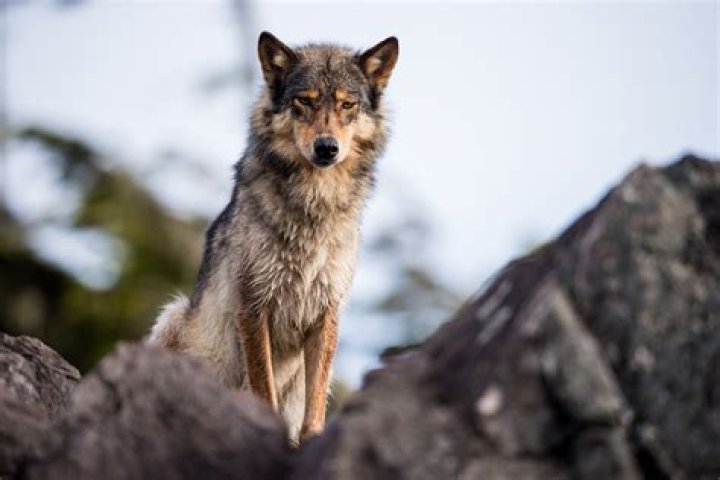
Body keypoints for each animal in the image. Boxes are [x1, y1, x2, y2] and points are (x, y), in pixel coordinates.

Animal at [148, 31, 398, 443]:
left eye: (347, 104)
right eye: (305, 101)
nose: (327, 148)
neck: (314, 206)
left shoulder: (326, 312)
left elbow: (315, 402)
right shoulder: (253, 305)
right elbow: (263, 387)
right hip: (173, 315)